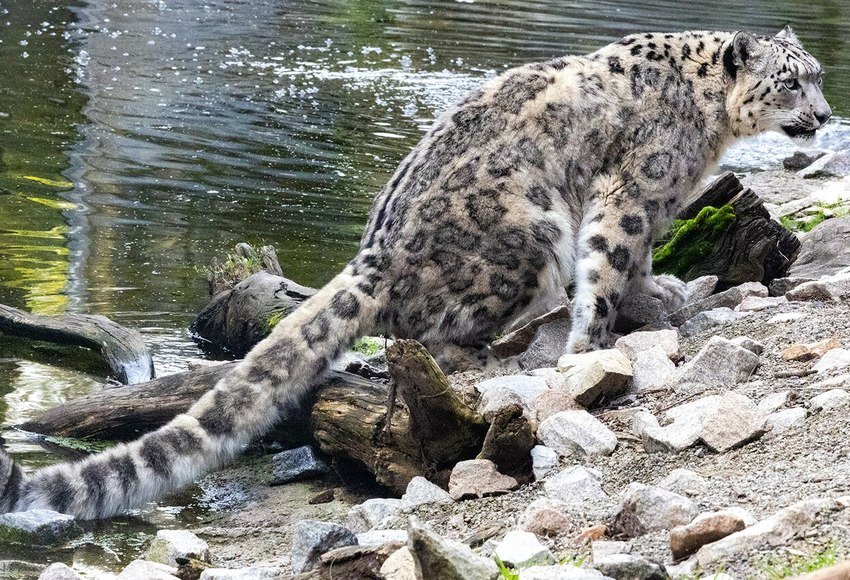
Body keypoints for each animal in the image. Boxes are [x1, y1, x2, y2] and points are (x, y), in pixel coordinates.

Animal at [0, 27, 830, 518]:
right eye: (792, 82)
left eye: (819, 75)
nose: (824, 116)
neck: (711, 126)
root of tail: (374, 255)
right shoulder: (633, 191)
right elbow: (612, 263)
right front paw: (601, 340)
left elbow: (641, 260)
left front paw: (660, 293)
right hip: (529, 232)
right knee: (444, 328)